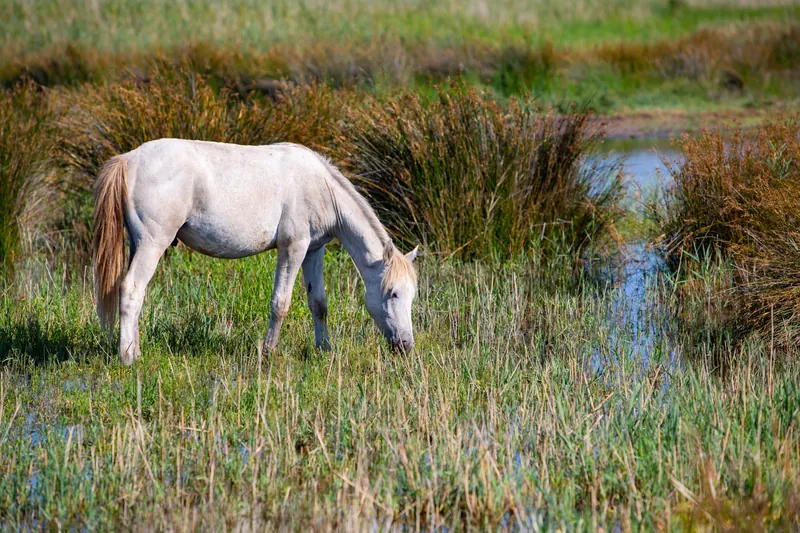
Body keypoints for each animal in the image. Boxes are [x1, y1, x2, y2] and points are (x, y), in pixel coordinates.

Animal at [92, 139, 418, 365]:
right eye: (392, 293)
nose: (406, 345)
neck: (320, 186)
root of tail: (129, 159)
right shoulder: (293, 248)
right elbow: (280, 303)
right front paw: (269, 351)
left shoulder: (314, 250)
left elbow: (319, 303)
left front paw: (324, 349)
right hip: (152, 244)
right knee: (131, 289)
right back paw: (128, 357)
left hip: (139, 245)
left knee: (137, 294)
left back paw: (135, 349)